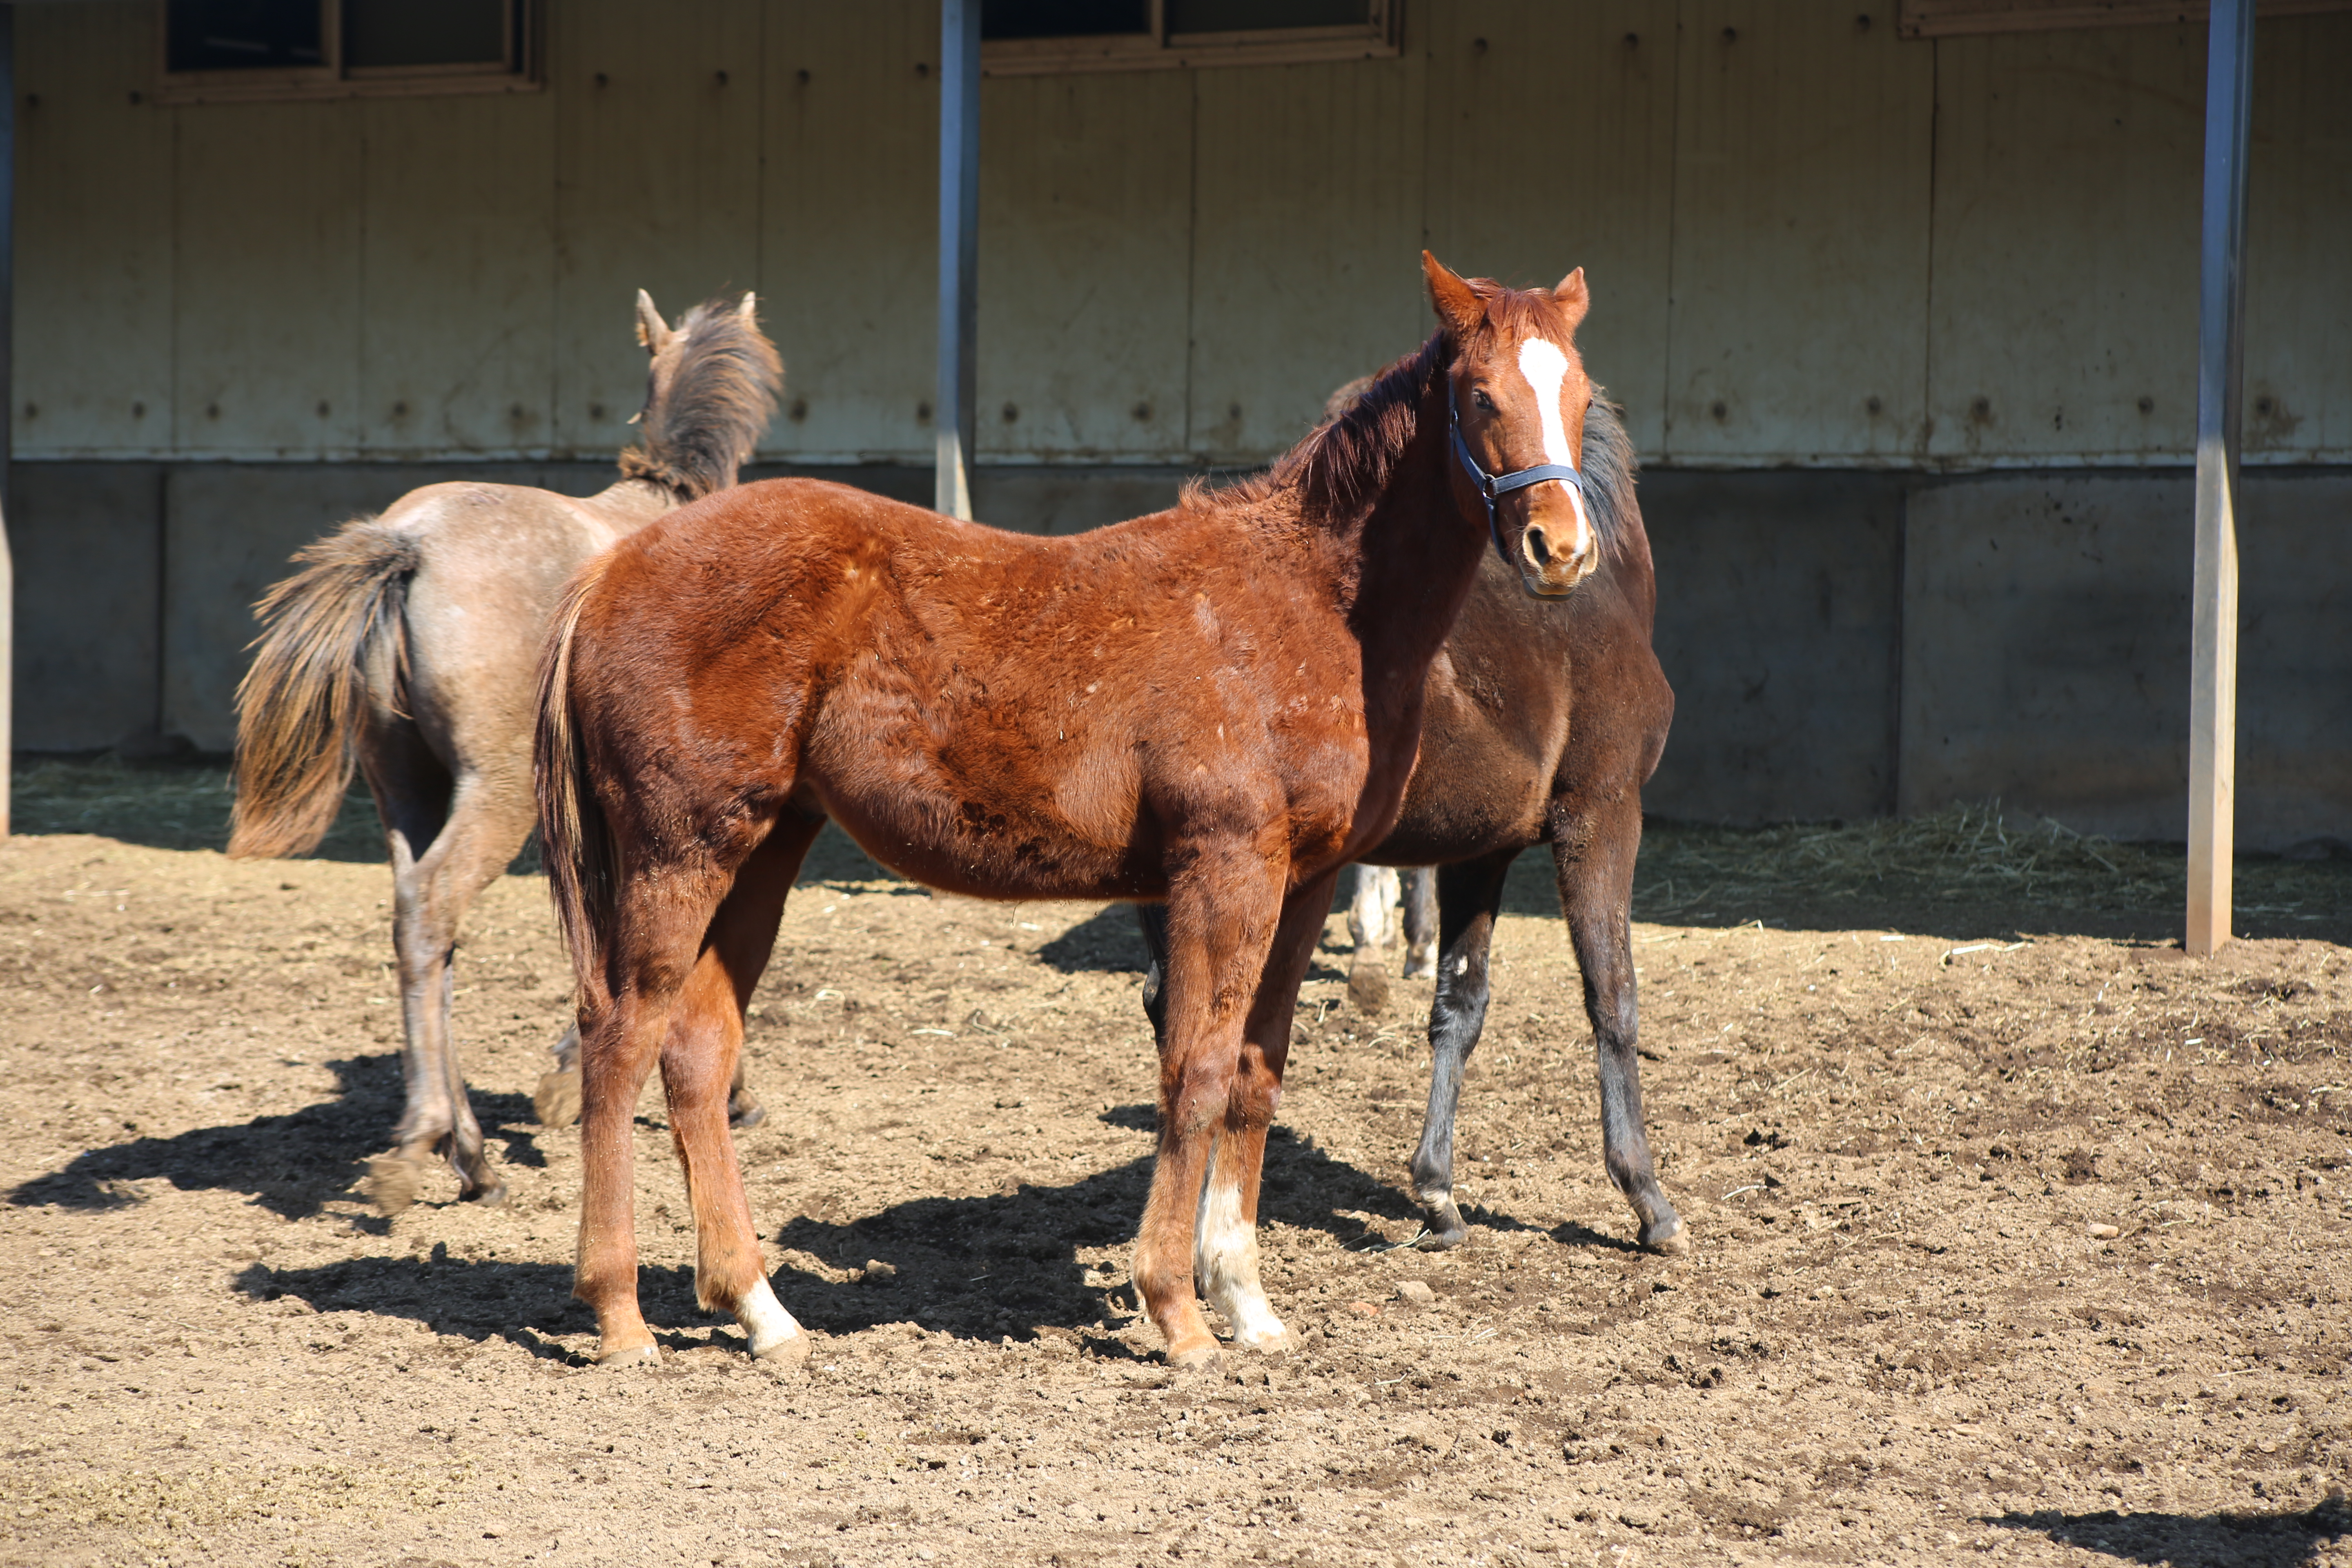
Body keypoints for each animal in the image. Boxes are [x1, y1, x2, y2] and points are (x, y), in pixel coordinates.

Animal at [529, 255, 1599, 1363]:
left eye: (1578, 395)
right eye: (1480, 396)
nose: (1560, 549)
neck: (1305, 603)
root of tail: (610, 570)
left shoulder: (1302, 883)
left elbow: (1255, 1075)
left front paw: (1247, 1304)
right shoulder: (1224, 869)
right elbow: (1197, 1069)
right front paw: (1177, 1310)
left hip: (764, 849)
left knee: (695, 1054)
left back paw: (761, 1310)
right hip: (680, 851)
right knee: (619, 1038)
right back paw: (620, 1313)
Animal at [1129, 392, 1684, 1250]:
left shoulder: (1480, 854)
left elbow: (1461, 1006)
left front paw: (1437, 1193)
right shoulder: (1602, 814)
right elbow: (1613, 996)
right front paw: (1647, 1197)